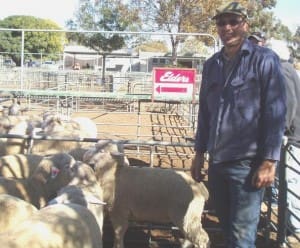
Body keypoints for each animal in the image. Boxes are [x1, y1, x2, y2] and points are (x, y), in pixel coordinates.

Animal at [81, 140, 209, 248]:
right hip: (189, 216)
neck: (112, 174)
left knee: (202, 238)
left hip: (188, 215)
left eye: (102, 151)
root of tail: (200, 187)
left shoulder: (119, 211)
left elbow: (118, 233)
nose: (87, 161)